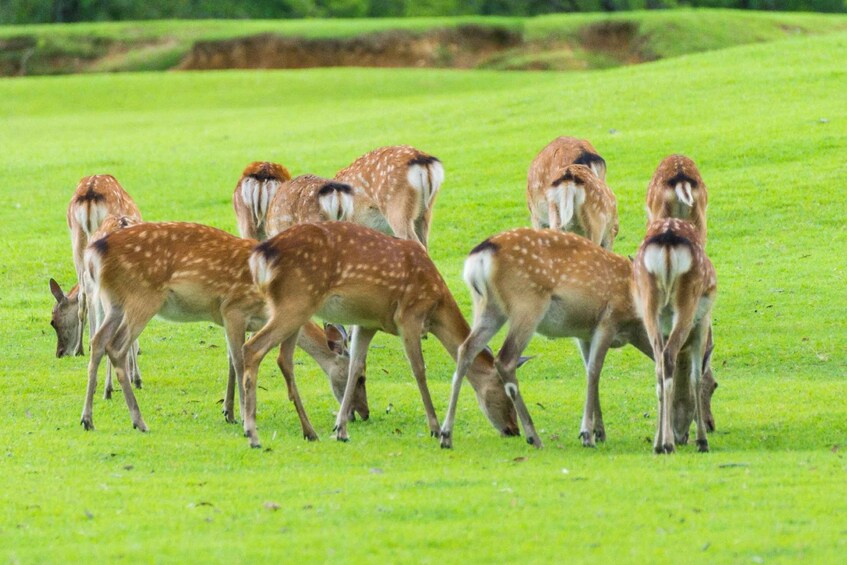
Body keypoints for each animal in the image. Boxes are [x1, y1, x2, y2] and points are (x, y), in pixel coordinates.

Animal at [51, 215, 142, 396]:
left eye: (53, 322)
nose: (59, 352)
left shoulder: (91, 292)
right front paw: (134, 377)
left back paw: (108, 387)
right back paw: (134, 379)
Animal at [80, 221, 368, 435]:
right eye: (360, 378)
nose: (363, 413)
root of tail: (95, 253)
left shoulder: (235, 319)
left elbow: (231, 359)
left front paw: (229, 412)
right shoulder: (233, 308)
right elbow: (240, 362)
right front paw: (244, 415)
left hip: (114, 302)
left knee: (97, 342)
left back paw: (87, 418)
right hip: (143, 297)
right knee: (116, 347)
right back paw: (139, 421)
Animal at [240, 221, 520, 449]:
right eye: (506, 391)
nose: (514, 429)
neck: (437, 303)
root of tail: (261, 256)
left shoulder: (368, 323)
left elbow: (355, 367)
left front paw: (340, 429)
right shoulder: (409, 315)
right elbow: (419, 370)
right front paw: (434, 427)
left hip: (295, 308)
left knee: (283, 359)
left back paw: (309, 432)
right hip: (296, 300)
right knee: (252, 348)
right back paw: (252, 434)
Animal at [439, 228, 661, 450]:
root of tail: (481, 256)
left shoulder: (584, 333)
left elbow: (590, 371)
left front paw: (599, 432)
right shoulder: (607, 321)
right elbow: (594, 371)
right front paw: (587, 435)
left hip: (487, 307)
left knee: (465, 350)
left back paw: (446, 435)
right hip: (527, 304)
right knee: (505, 360)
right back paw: (533, 437)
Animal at [633, 218, 716, 454]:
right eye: (714, 387)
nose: (711, 424)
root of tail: (668, 239)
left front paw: (658, 440)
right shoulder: (702, 324)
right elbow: (695, 378)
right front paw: (702, 441)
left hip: (649, 306)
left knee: (660, 366)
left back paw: (659, 444)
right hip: (687, 302)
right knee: (669, 357)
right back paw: (669, 443)